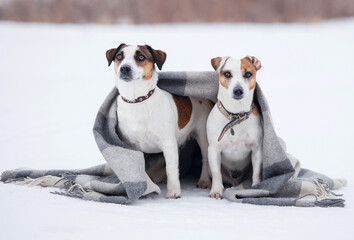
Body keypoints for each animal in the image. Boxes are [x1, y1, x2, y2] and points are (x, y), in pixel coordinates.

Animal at [103, 44, 212, 198]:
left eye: (141, 56)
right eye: (119, 56)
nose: (124, 68)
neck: (137, 101)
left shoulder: (168, 143)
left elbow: (171, 168)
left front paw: (173, 191)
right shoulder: (131, 146)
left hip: (203, 136)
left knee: (205, 159)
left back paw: (204, 180)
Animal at [207, 55, 262, 199]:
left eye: (248, 74)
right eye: (227, 74)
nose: (238, 90)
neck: (235, 117)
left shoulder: (256, 149)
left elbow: (257, 172)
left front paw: (256, 188)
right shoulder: (214, 149)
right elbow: (216, 173)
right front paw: (216, 191)